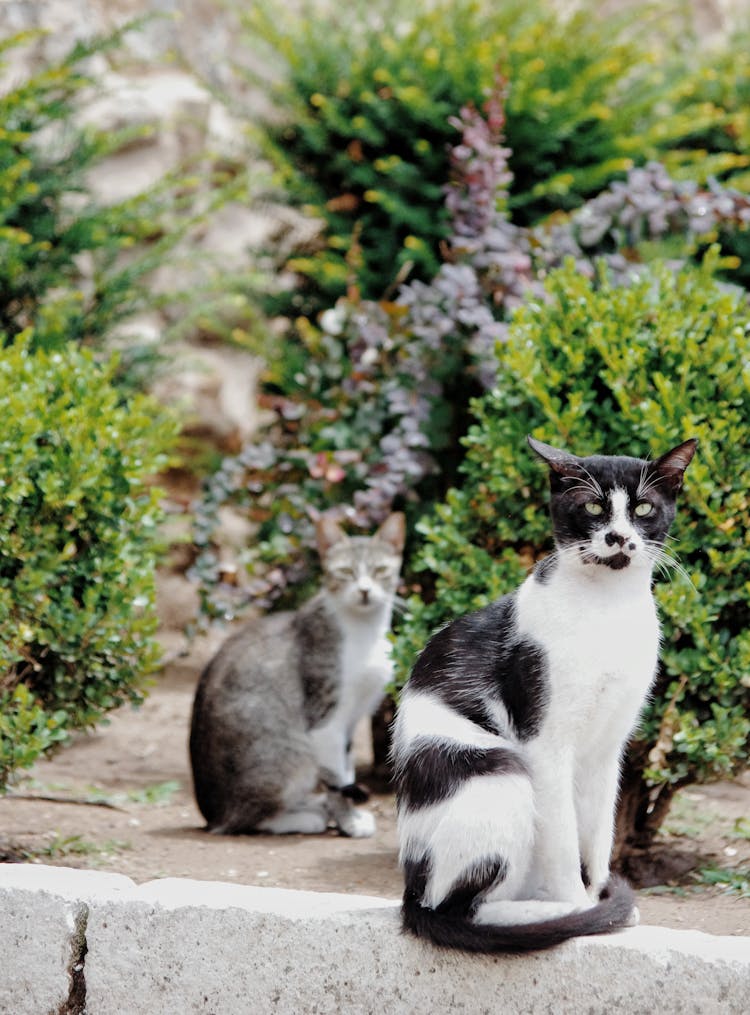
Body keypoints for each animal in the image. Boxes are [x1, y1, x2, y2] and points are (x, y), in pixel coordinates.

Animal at [190, 511, 407, 836]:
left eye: (380, 570)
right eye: (345, 572)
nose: (364, 590)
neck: (364, 631)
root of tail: (210, 815)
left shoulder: (351, 721)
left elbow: (347, 772)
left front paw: (348, 816)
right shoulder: (326, 719)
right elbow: (337, 780)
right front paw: (348, 822)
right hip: (294, 756)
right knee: (244, 821)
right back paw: (304, 817)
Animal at [393, 434, 698, 950]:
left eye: (643, 507)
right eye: (593, 507)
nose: (618, 538)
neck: (606, 608)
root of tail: (411, 891)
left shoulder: (609, 748)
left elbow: (598, 832)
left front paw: (597, 898)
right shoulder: (545, 740)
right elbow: (563, 838)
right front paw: (582, 907)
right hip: (496, 770)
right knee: (459, 907)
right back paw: (550, 912)